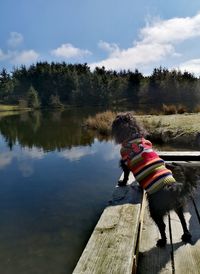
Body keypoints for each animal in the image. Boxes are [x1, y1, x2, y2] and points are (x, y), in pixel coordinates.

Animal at [111, 112, 193, 247]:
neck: (133, 135)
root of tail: (172, 189)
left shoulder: (125, 163)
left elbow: (126, 174)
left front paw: (122, 182)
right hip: (178, 206)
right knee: (183, 221)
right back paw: (186, 235)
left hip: (155, 209)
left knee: (162, 226)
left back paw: (162, 241)